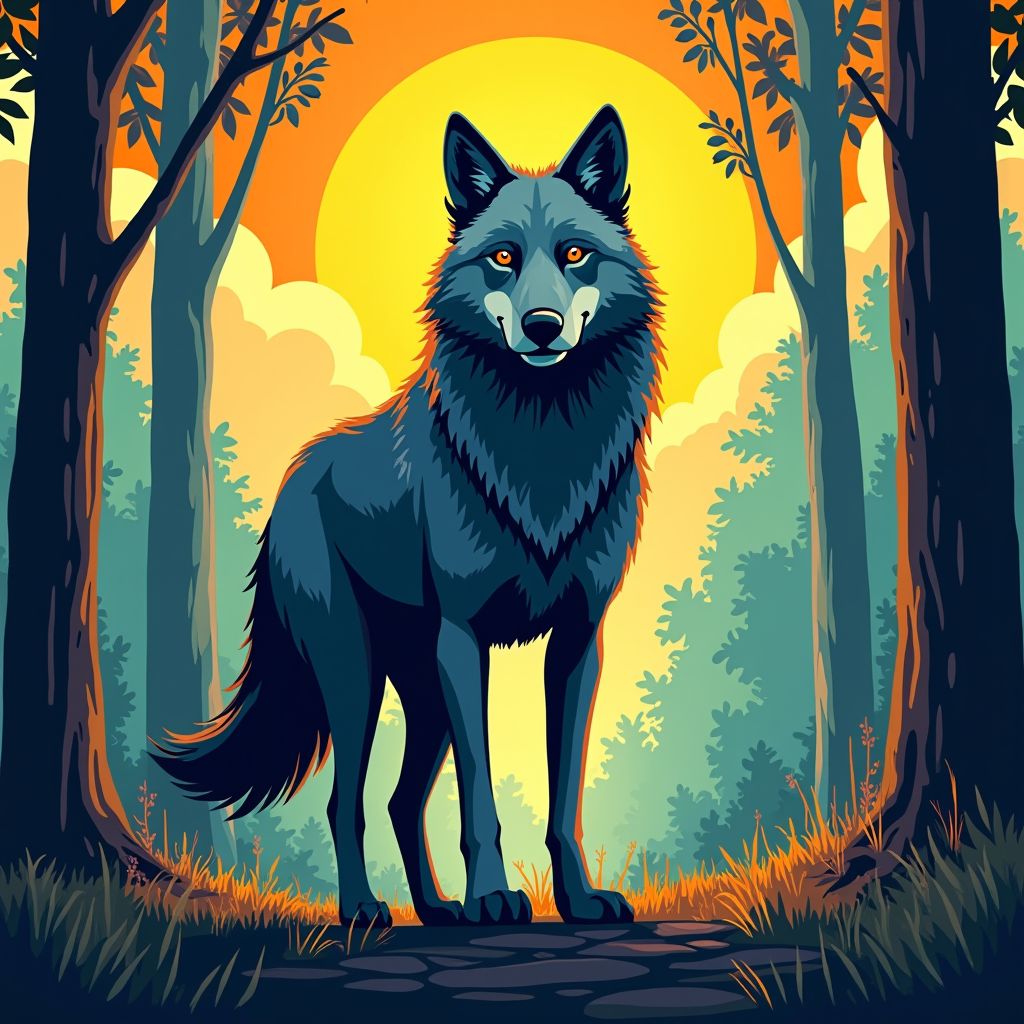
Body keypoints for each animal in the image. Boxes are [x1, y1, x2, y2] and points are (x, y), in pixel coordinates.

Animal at [155, 105, 663, 927]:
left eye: (575, 254)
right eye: (503, 258)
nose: (543, 325)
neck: (543, 445)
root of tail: (294, 477)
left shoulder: (578, 642)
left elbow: (563, 797)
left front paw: (578, 900)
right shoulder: (465, 638)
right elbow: (481, 794)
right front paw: (494, 897)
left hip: (420, 692)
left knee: (398, 800)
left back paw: (438, 911)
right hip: (357, 674)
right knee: (348, 802)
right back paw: (366, 910)